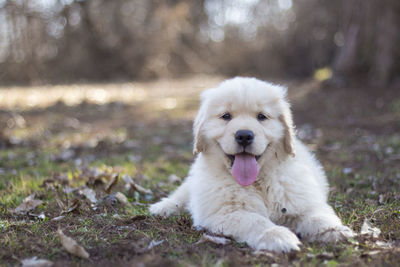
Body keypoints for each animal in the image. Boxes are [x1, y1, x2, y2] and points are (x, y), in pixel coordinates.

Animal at [149, 77, 354, 253]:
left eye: (261, 116)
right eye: (226, 116)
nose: (244, 135)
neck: (259, 181)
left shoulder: (303, 201)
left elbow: (318, 215)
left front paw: (336, 231)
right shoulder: (224, 212)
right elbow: (255, 220)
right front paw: (277, 236)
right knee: (182, 194)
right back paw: (163, 207)